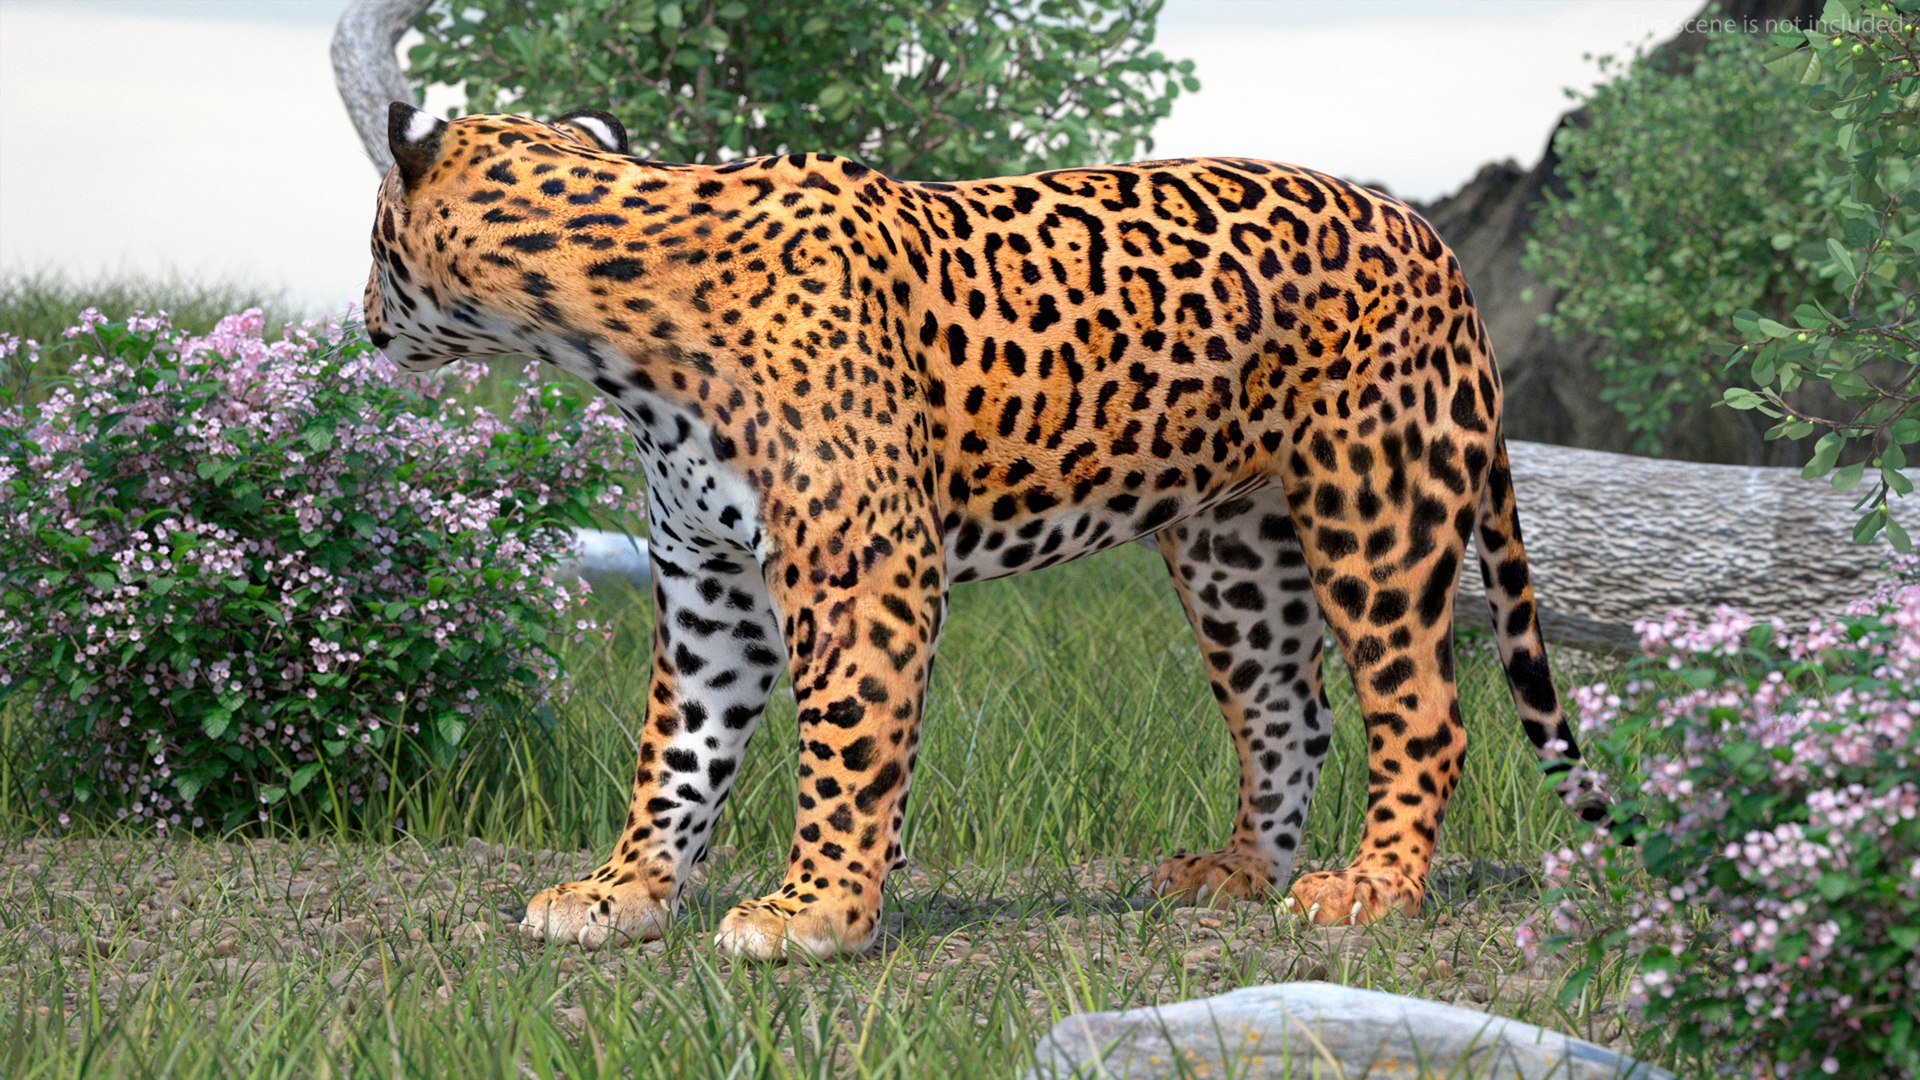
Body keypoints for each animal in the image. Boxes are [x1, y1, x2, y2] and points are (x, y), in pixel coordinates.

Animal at [362, 102, 1604, 960]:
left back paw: (1371, 888)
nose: (365, 317)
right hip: (1234, 549)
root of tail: (1432, 236)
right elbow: (679, 751)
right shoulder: (709, 583)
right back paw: (1241, 872)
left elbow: (847, 744)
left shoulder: (863, 572)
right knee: (1287, 714)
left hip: (1374, 508)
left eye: (374, 241)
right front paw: (622, 894)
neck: (606, 338)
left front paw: (816, 914)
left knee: (1424, 709)